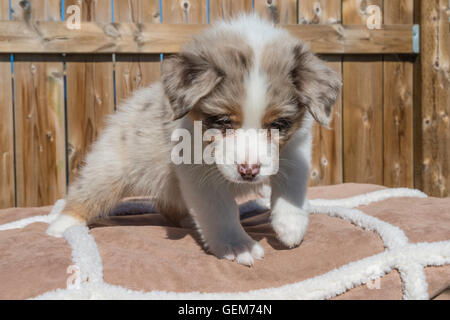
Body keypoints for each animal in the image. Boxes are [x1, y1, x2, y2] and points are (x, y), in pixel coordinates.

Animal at [46, 13, 342, 266]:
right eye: (222, 121)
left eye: (278, 124)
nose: (249, 171)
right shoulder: (198, 173)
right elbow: (220, 210)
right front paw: (237, 246)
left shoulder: (296, 147)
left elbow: (292, 184)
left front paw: (291, 225)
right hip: (109, 170)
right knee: (84, 196)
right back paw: (60, 227)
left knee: (167, 205)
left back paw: (188, 220)